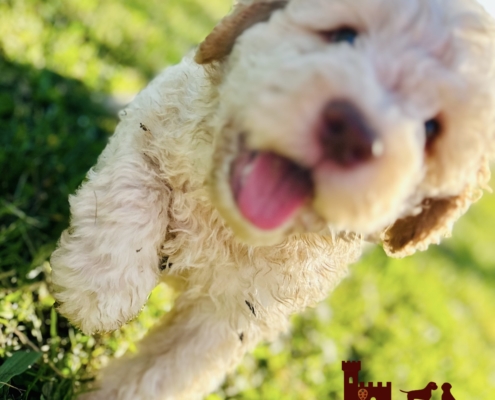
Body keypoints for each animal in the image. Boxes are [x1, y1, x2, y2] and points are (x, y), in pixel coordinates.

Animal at [49, 0, 495, 398]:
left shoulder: (234, 318)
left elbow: (166, 370)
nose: (352, 132)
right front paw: (100, 288)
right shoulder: (158, 119)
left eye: (431, 128)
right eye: (344, 36)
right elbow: (137, 184)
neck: (225, 215)